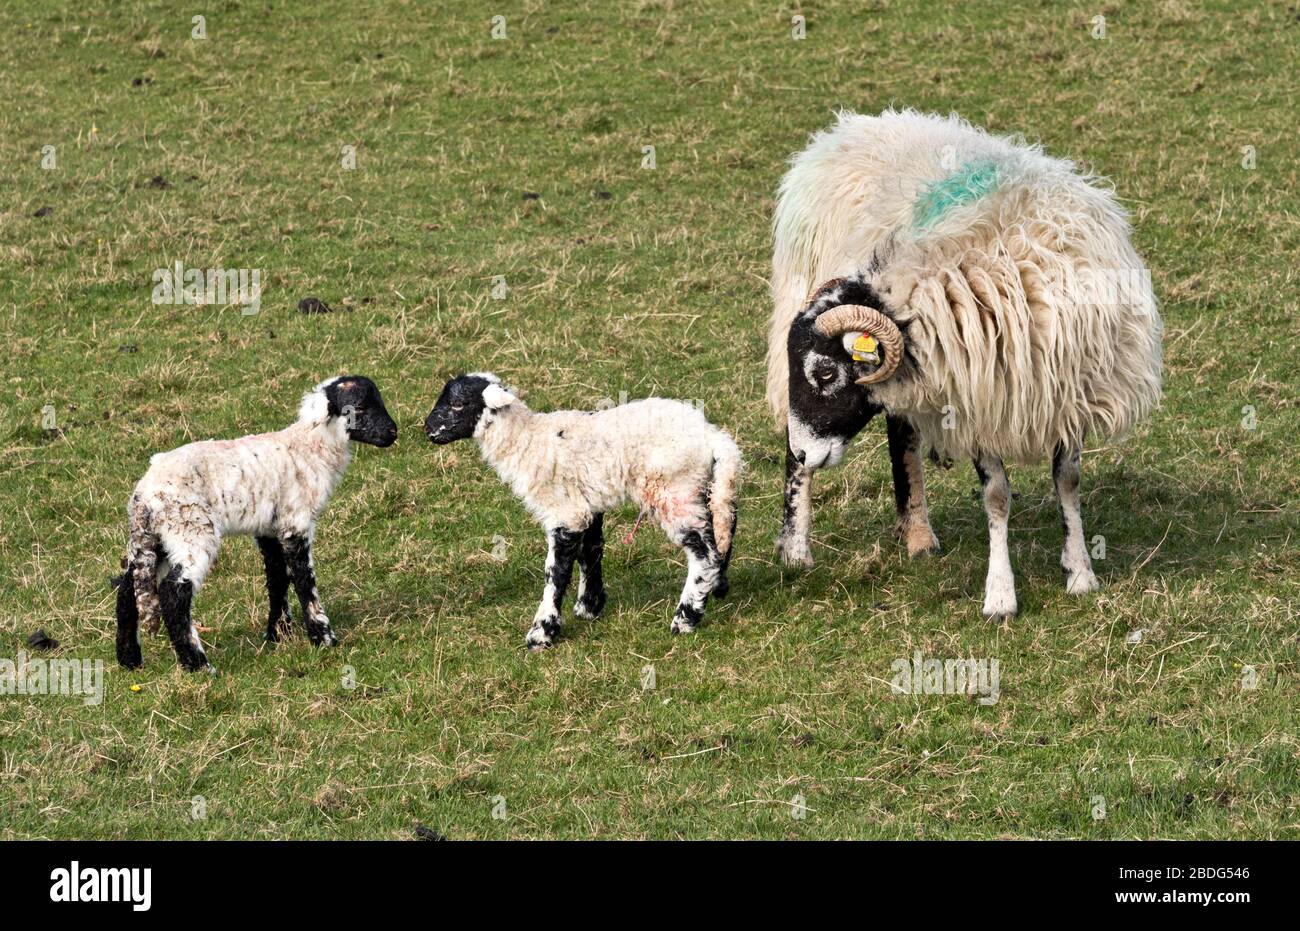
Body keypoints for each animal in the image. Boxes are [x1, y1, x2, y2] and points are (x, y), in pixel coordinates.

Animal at [114, 374, 397, 670]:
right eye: (359, 407)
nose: (393, 433)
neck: (310, 448)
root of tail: (144, 495)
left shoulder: (269, 528)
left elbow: (277, 578)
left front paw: (278, 635)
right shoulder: (296, 521)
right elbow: (304, 580)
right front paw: (323, 638)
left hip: (155, 539)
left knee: (127, 589)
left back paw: (129, 659)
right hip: (191, 530)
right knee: (173, 595)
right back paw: (198, 664)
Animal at [423, 371, 743, 647]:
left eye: (458, 404)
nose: (428, 430)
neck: (528, 442)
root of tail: (713, 438)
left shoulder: (565, 511)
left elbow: (555, 571)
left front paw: (543, 631)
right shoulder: (587, 504)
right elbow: (591, 551)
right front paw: (589, 606)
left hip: (674, 491)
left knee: (704, 553)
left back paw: (685, 618)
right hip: (703, 487)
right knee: (722, 528)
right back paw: (716, 587)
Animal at [764, 111, 1164, 618]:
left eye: (826, 373)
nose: (803, 451)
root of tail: (846, 128)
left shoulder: (1068, 394)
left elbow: (1068, 482)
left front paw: (1079, 572)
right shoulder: (976, 402)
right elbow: (996, 497)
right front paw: (1000, 594)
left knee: (902, 436)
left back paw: (917, 535)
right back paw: (797, 547)